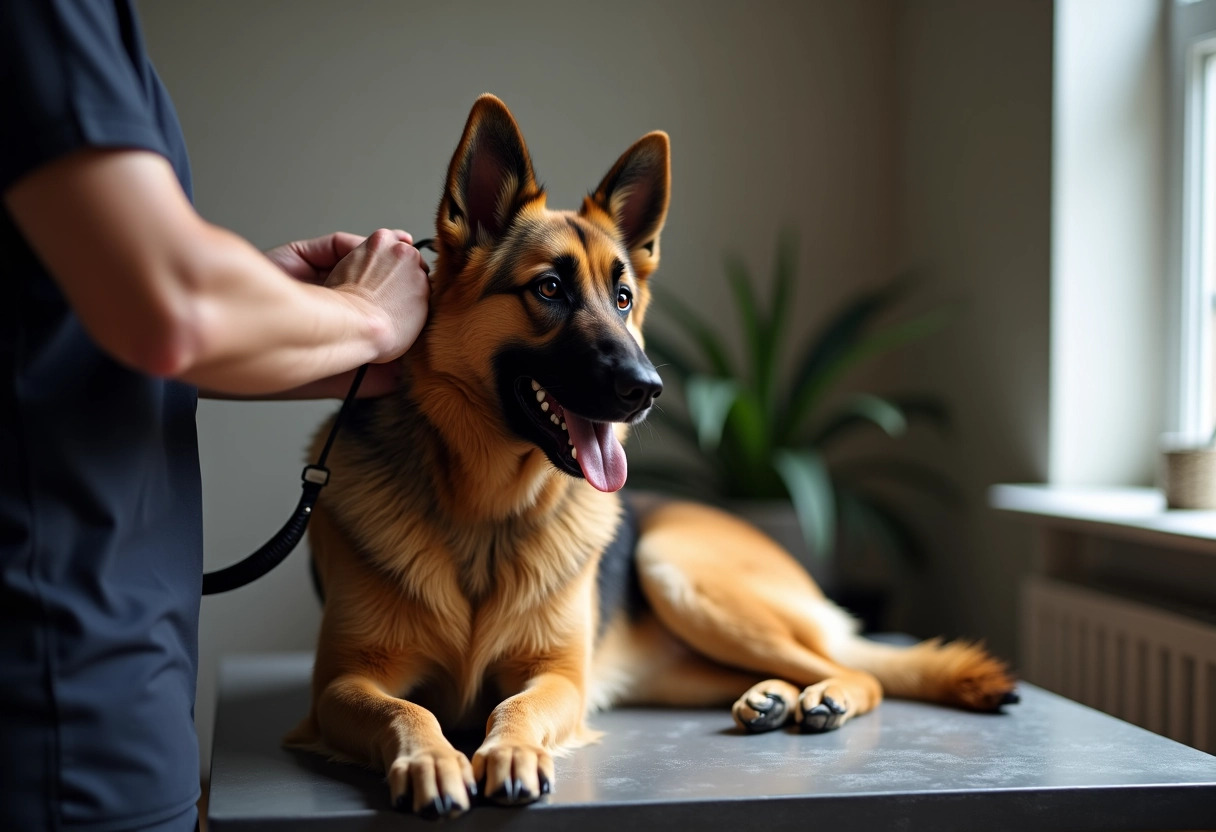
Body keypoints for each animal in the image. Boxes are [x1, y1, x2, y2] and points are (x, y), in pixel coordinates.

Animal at [284, 94, 1016, 817]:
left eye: (623, 298)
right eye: (548, 289)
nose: (647, 389)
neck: (486, 510)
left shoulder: (558, 678)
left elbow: (516, 709)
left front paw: (511, 750)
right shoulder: (344, 684)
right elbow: (408, 711)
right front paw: (432, 759)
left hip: (678, 570)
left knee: (859, 669)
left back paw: (823, 696)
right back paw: (774, 697)